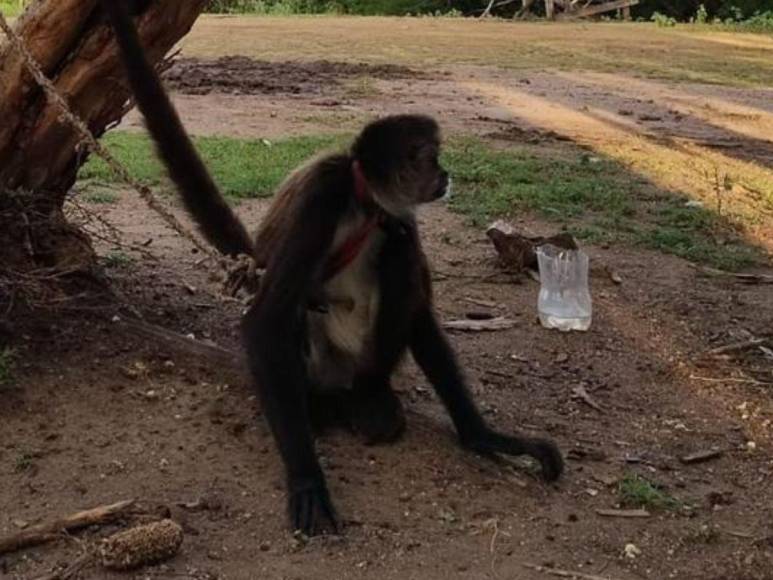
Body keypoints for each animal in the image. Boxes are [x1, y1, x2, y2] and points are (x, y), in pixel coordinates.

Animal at [99, 0, 564, 536]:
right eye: (431, 159)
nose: (446, 176)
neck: (362, 204)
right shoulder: (324, 199)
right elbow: (264, 322)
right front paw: (307, 481)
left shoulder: (396, 215)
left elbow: (421, 312)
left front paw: (484, 437)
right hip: (318, 360)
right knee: (301, 313)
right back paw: (323, 407)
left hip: (366, 352)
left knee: (397, 262)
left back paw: (369, 397)